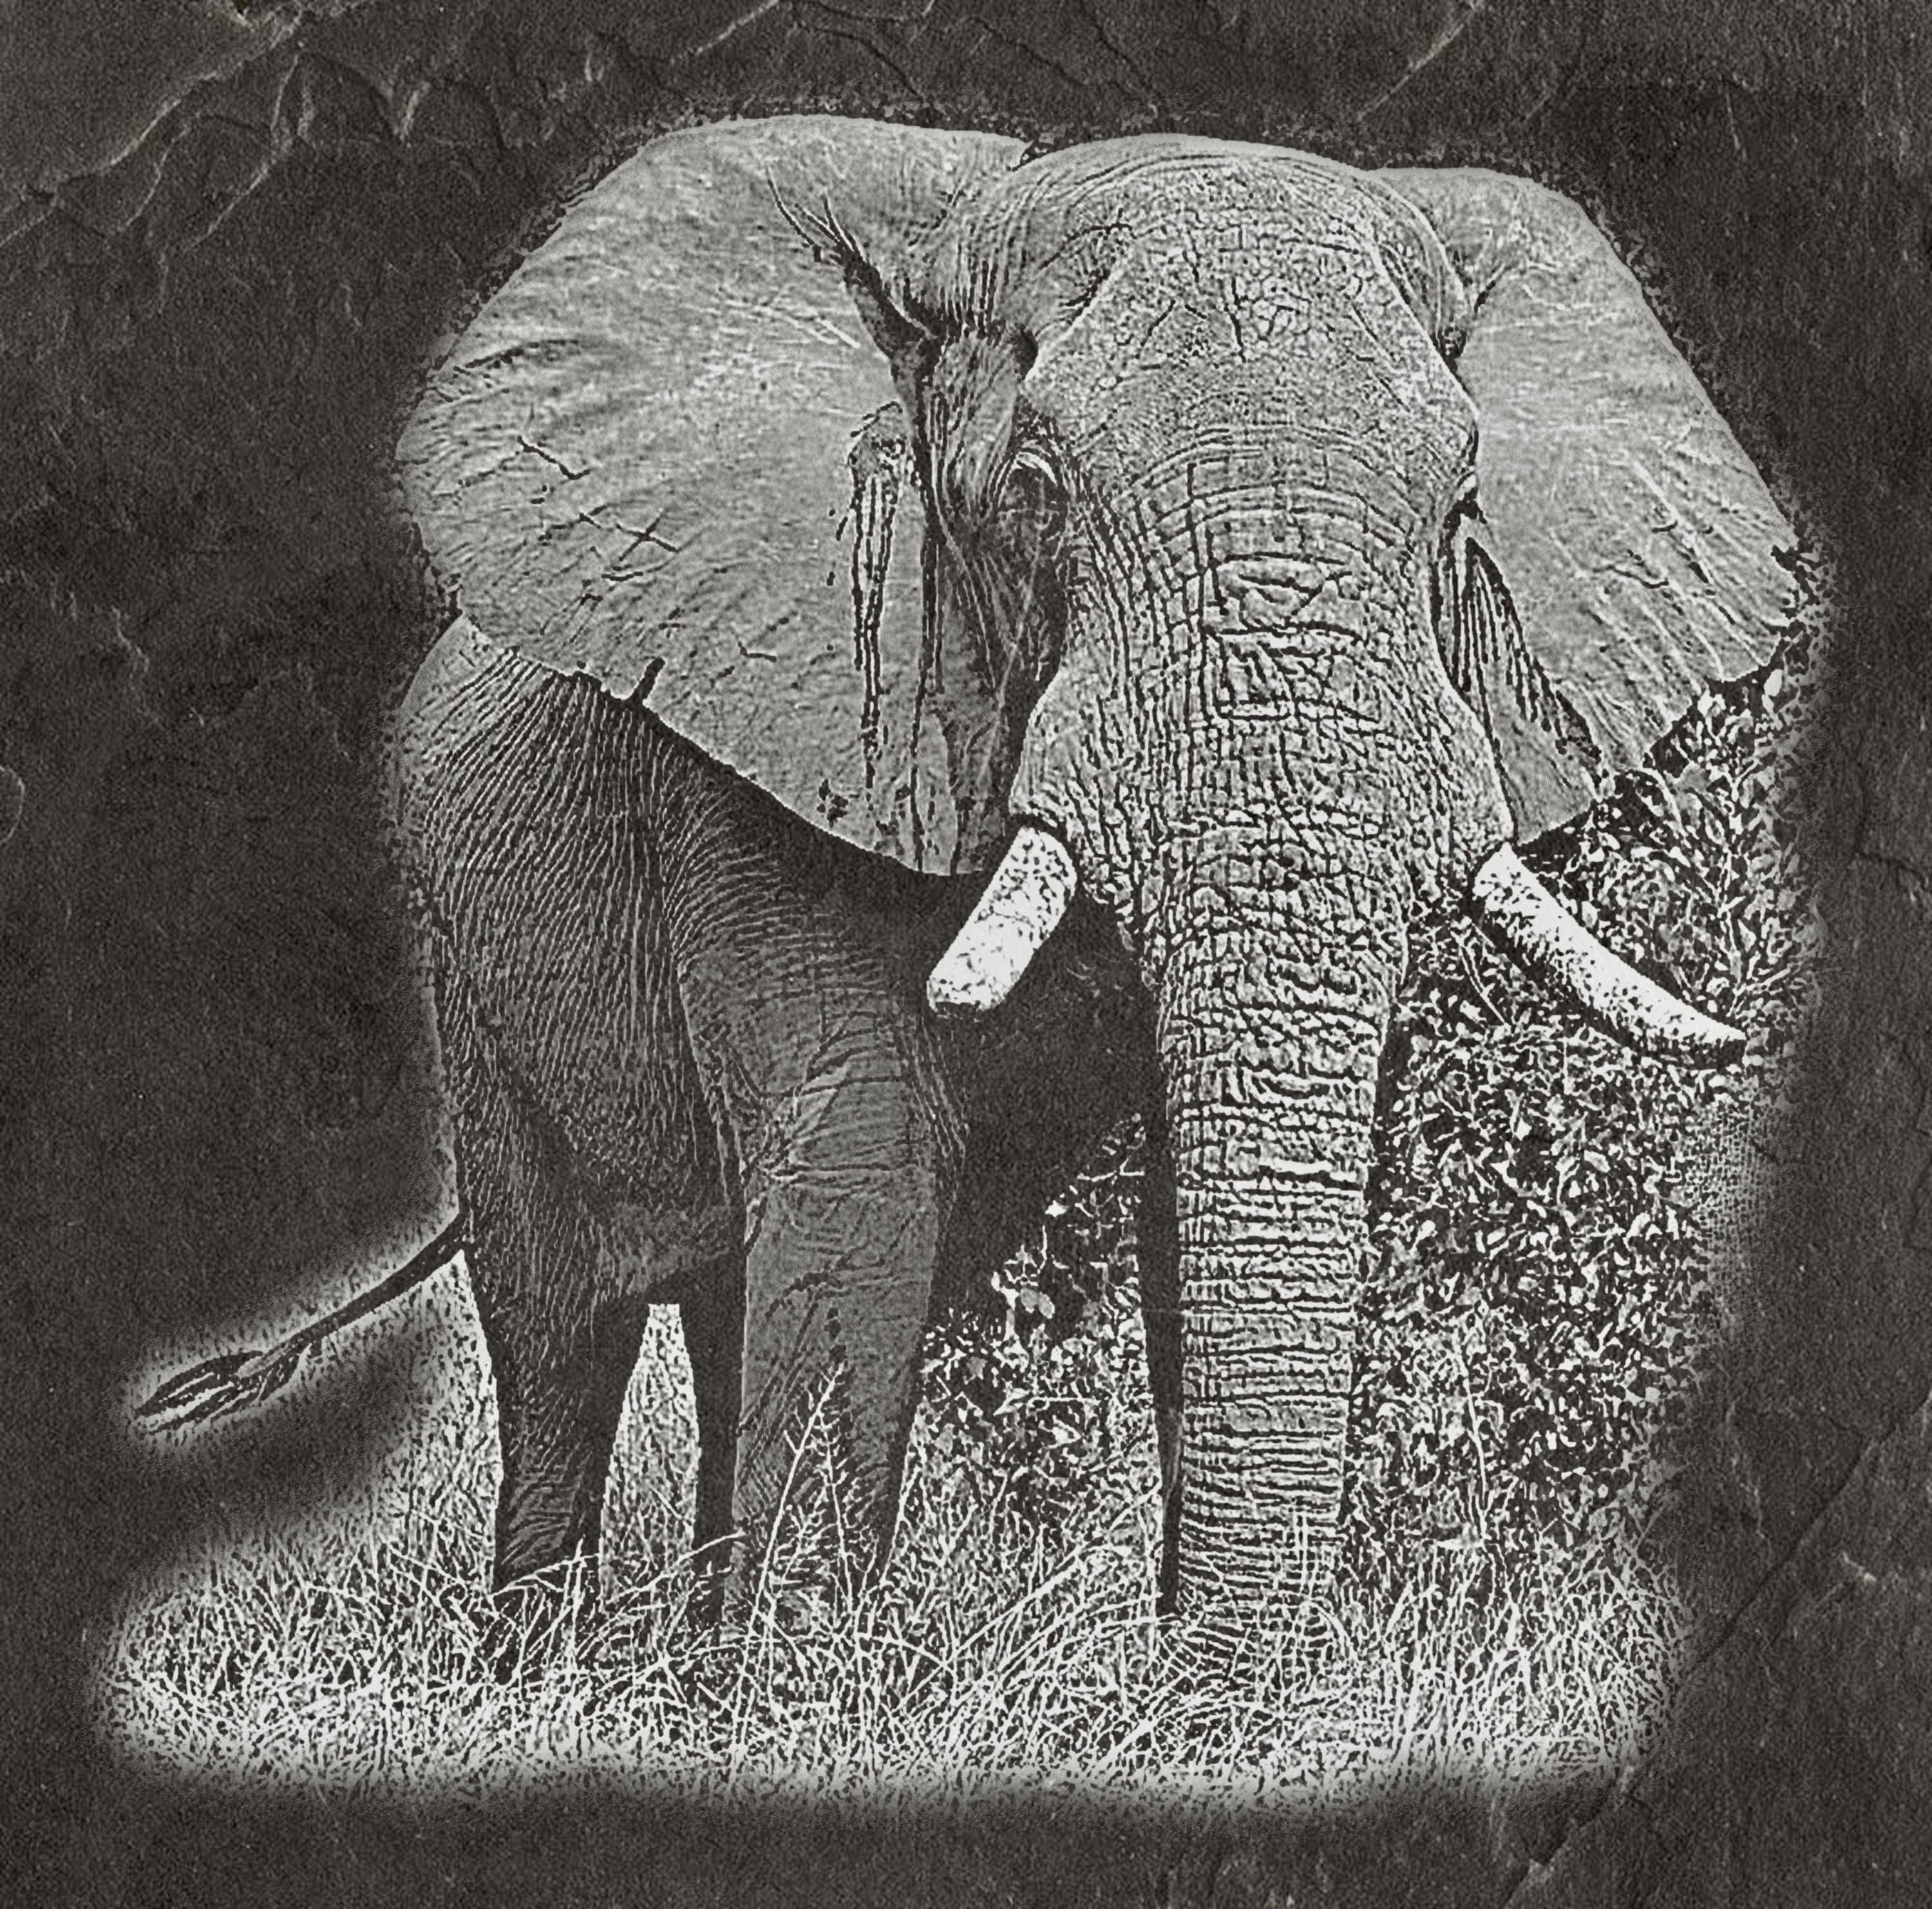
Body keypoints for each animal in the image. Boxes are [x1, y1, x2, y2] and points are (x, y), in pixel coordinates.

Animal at [142, 114, 1796, 1644]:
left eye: (1460, 514)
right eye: (1038, 487)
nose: (1191, 1702)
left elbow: (1174, 1211)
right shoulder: (785, 719)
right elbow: (862, 1158)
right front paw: (798, 1710)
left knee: (726, 1313)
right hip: (471, 973)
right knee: (560, 1334)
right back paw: (548, 1675)